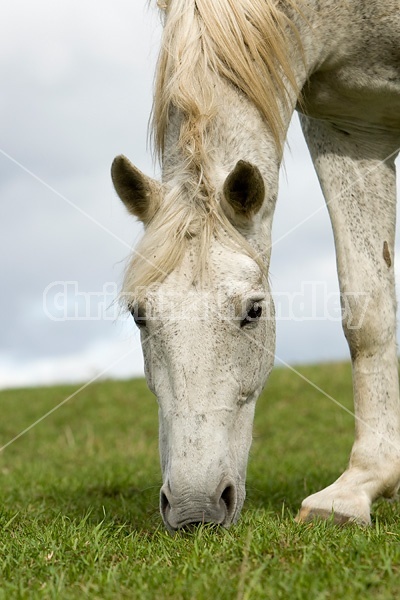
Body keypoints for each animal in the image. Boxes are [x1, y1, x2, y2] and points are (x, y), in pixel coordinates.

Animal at [111, 0, 400, 528]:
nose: (194, 509)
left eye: (254, 311)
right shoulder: (351, 127)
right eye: (139, 315)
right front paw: (359, 486)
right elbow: (367, 311)